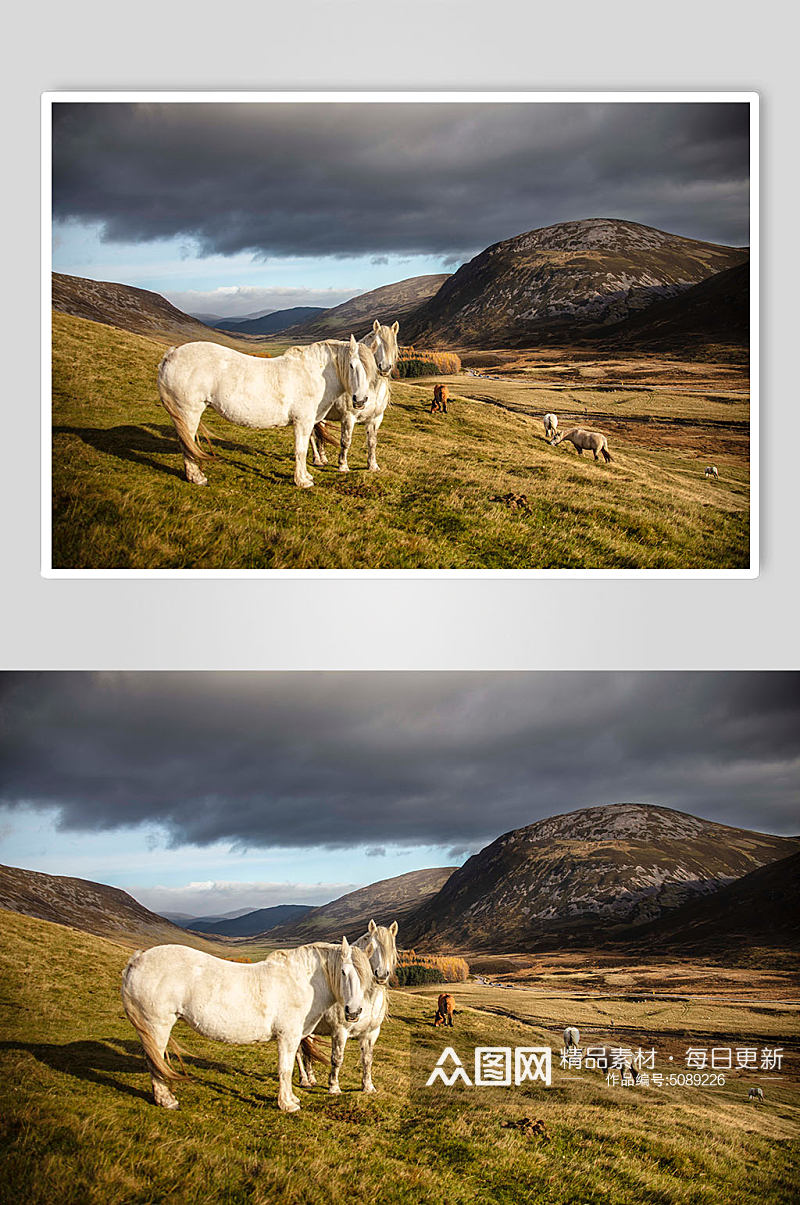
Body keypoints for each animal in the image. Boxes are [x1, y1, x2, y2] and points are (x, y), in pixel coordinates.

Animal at [121, 935, 371, 1113]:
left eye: (366, 978)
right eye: (343, 972)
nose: (354, 1012)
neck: (299, 982)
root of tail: (137, 960)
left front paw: (291, 1099)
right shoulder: (287, 1036)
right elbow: (285, 1069)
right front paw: (287, 1104)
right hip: (157, 1026)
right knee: (154, 1061)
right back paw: (167, 1100)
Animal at [161, 332, 380, 486]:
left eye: (372, 370)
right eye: (351, 365)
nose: (360, 400)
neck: (312, 374)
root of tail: (172, 354)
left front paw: (306, 475)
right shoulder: (303, 421)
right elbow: (300, 450)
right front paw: (302, 481)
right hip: (188, 412)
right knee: (187, 442)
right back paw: (197, 478)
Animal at [295, 920, 397, 1094]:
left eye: (392, 946)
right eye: (372, 945)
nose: (382, 975)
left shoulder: (371, 1033)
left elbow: (367, 1059)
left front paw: (368, 1086)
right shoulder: (339, 1031)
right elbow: (337, 1058)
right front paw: (334, 1087)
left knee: (308, 1051)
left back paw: (311, 1078)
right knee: (296, 1052)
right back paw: (304, 1080)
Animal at [310, 322, 400, 472]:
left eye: (394, 343)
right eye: (376, 343)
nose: (385, 368)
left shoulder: (376, 419)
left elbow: (372, 442)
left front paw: (373, 465)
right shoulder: (348, 417)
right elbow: (346, 441)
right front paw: (343, 465)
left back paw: (323, 458)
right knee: (311, 435)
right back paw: (317, 459)